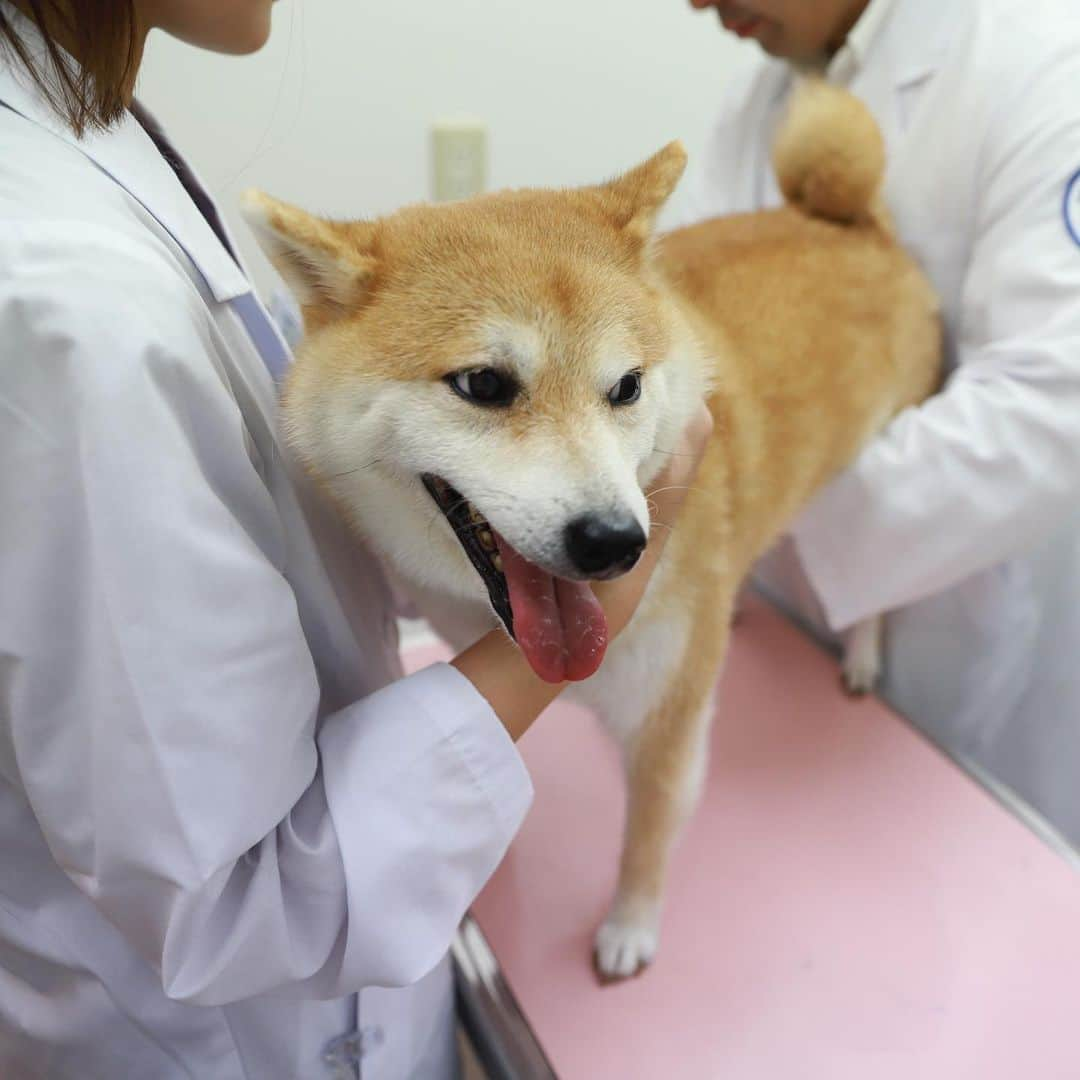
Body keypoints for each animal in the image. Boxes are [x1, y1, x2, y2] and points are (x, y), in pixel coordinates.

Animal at [243, 82, 937, 980]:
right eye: (483, 384)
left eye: (627, 387)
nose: (615, 544)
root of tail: (855, 223)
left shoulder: (670, 712)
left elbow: (649, 830)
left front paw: (630, 926)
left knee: (882, 572)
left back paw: (861, 652)